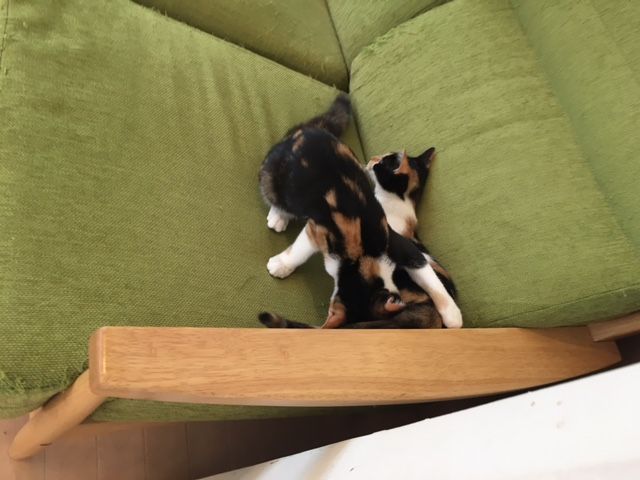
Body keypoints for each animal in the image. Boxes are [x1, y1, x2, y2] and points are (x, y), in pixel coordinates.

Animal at [258, 94, 462, 329]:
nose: (372, 159)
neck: (364, 256)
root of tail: (308, 129)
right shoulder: (320, 229)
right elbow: (300, 250)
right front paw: (282, 265)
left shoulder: (398, 243)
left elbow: (426, 272)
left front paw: (452, 314)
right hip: (273, 176)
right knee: (276, 196)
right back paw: (279, 216)